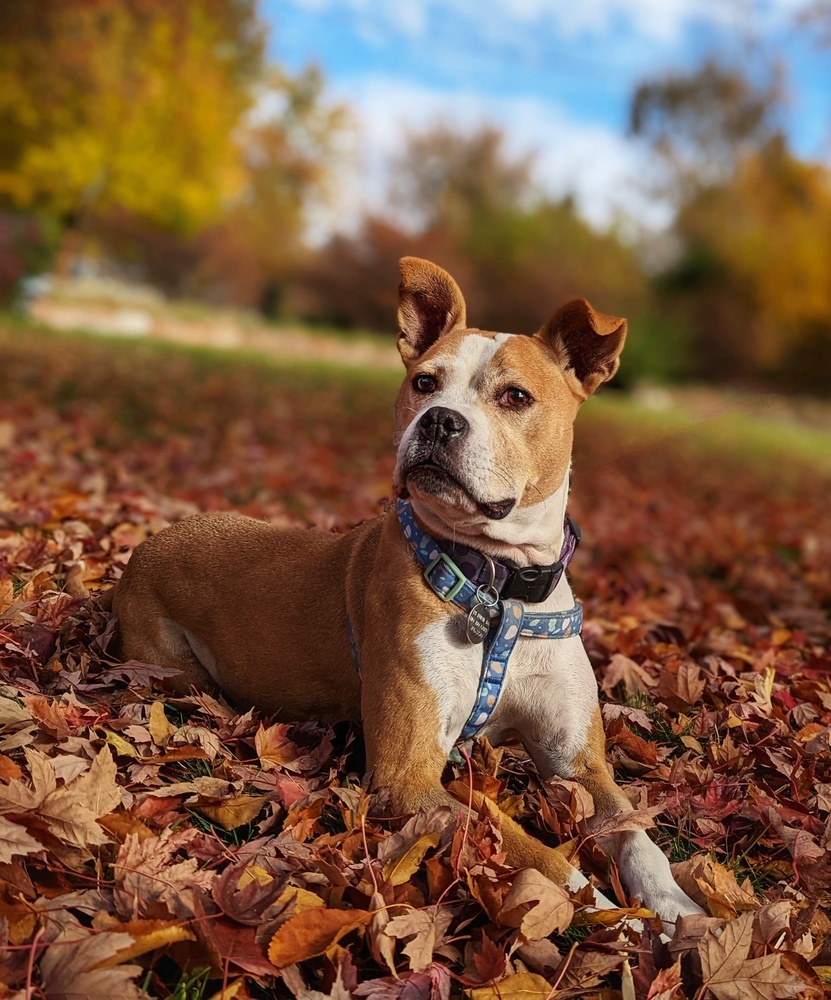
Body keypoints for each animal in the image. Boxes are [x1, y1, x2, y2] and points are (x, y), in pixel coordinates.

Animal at [105, 260, 704, 928]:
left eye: (516, 397)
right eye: (424, 382)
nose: (440, 419)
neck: (499, 587)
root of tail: (154, 538)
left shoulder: (578, 762)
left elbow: (636, 836)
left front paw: (683, 912)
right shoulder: (409, 773)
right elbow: (542, 859)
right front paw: (613, 915)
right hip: (176, 673)